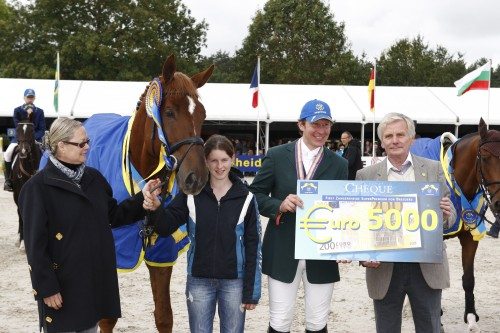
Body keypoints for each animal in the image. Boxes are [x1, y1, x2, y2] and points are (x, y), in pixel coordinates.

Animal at [81, 54, 213, 332]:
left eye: (203, 114)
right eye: (170, 112)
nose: (197, 178)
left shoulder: (162, 253)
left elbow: (164, 315)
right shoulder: (114, 253)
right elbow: (107, 318)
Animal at [412, 118, 498, 330]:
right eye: (485, 157)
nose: (499, 202)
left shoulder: (470, 237)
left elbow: (468, 279)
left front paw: (471, 317)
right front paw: (438, 315)